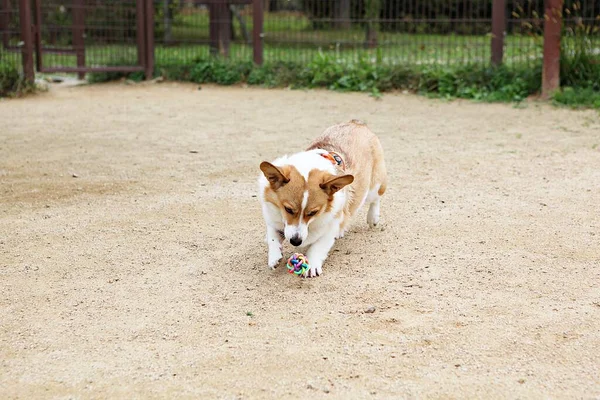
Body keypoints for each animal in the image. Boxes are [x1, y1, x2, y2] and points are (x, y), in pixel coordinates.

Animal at [258, 120, 390, 276]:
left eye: (313, 212)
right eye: (288, 209)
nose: (295, 241)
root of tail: (356, 123)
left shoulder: (331, 225)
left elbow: (318, 246)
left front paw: (312, 265)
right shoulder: (274, 218)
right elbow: (272, 235)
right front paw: (274, 257)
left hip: (373, 188)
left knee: (376, 198)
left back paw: (372, 218)